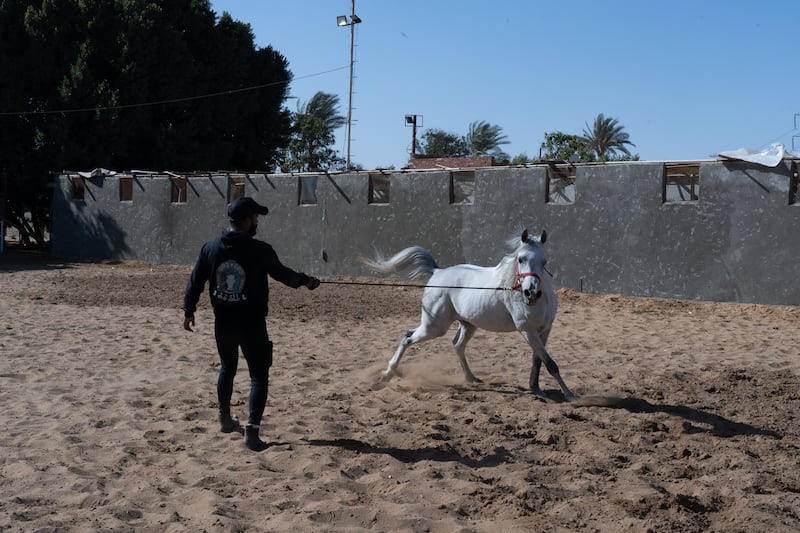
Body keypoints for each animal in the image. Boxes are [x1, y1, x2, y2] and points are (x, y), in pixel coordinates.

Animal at [360, 229, 576, 400]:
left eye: (544, 261)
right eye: (520, 259)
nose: (531, 292)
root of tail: (437, 272)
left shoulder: (544, 330)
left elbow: (539, 361)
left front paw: (537, 389)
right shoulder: (527, 330)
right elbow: (551, 364)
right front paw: (570, 395)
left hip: (467, 325)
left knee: (455, 345)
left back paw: (471, 378)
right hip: (434, 326)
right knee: (408, 338)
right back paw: (387, 375)